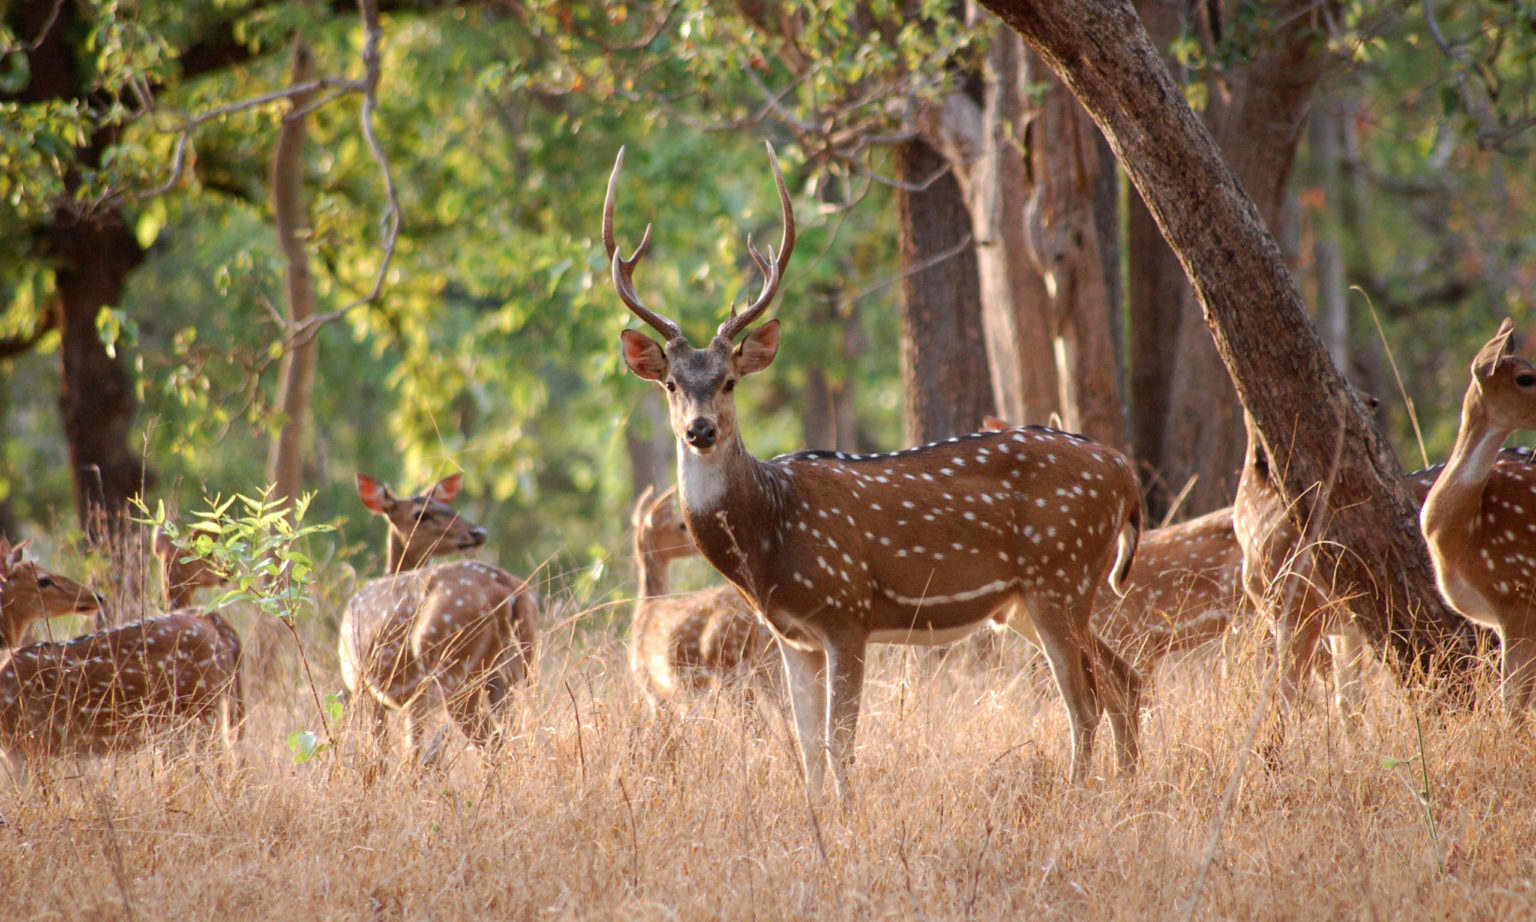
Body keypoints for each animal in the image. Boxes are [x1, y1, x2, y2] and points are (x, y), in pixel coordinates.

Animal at [340, 473, 540, 768]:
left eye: (451, 508)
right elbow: (411, 754)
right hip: (518, 669)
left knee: (493, 741)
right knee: (513, 735)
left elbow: (383, 757)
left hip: (456, 671)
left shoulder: (363, 685)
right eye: (421, 514)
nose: (478, 532)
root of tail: (509, 592)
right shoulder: (414, 702)